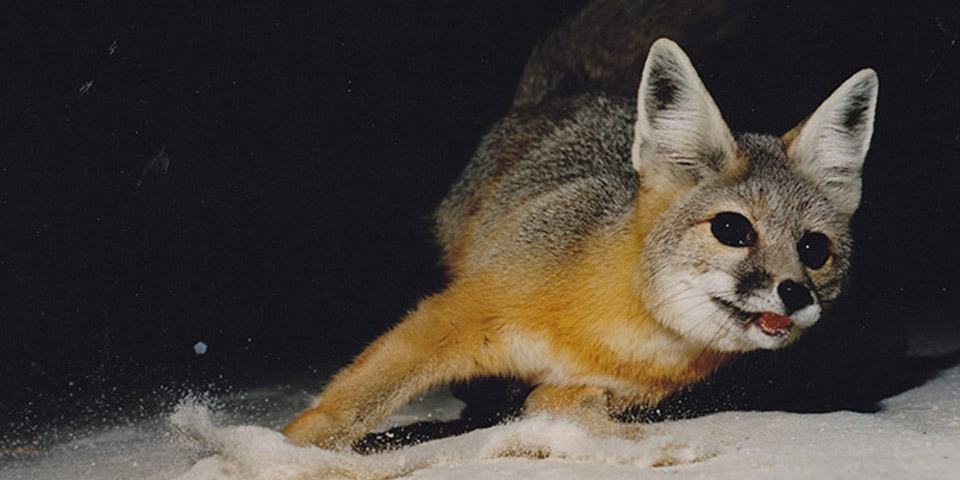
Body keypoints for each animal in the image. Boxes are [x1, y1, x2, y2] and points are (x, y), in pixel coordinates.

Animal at [283, 9, 878, 449]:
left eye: (815, 250)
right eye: (733, 229)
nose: (795, 292)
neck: (613, 333)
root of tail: (567, 97)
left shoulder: (603, 389)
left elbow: (554, 405)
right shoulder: (457, 314)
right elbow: (356, 400)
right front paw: (288, 450)